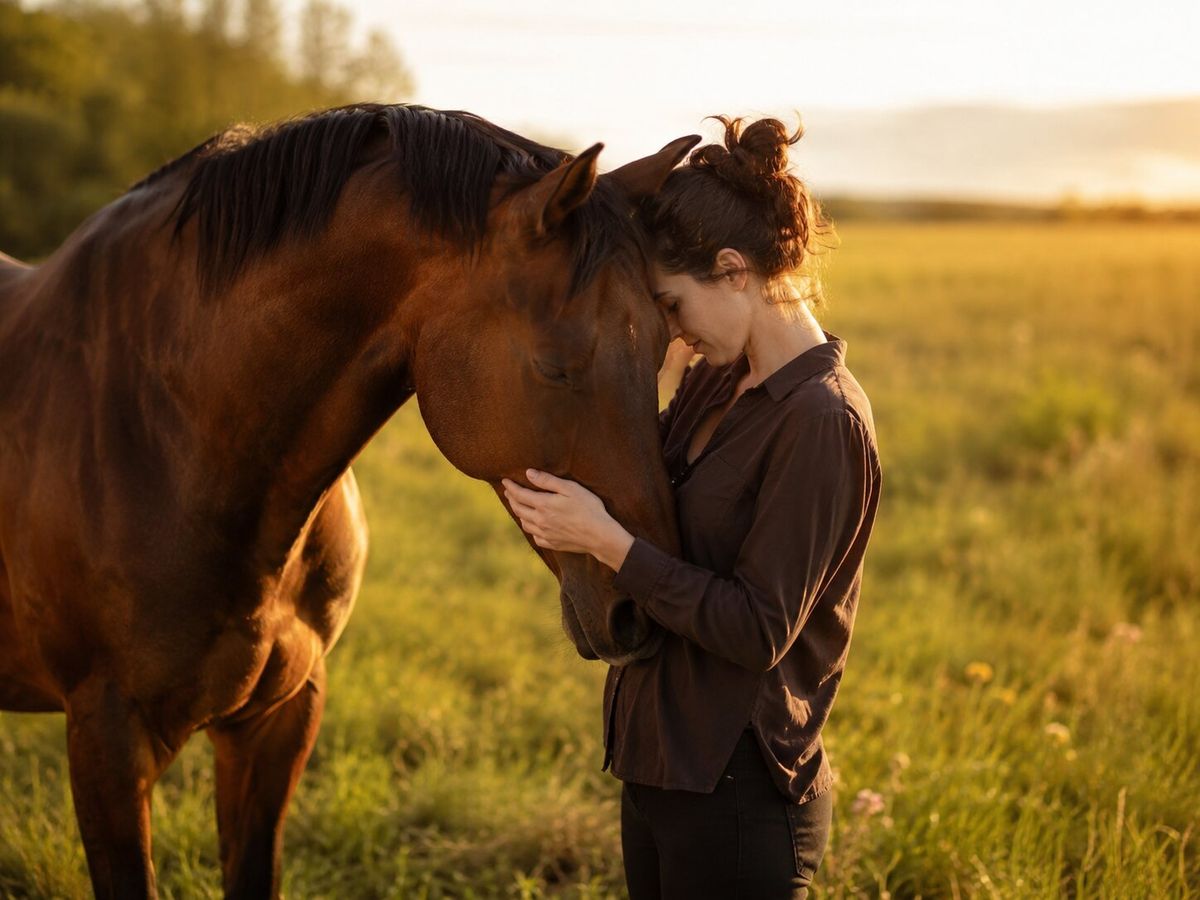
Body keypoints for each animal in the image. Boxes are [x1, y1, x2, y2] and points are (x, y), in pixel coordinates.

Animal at [0, 103, 697, 899]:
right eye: (556, 365)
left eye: (665, 349)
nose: (641, 615)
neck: (165, 425)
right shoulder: (107, 739)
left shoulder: (280, 717)